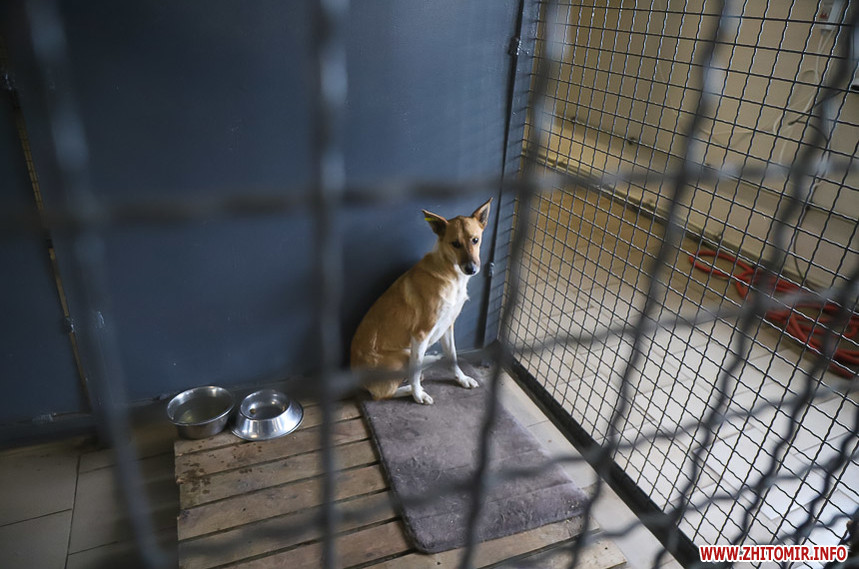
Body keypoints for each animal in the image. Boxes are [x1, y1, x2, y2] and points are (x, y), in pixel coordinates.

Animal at [350, 198, 492, 405]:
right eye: (455, 243)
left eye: (475, 240)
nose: (471, 269)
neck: (450, 273)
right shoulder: (420, 334)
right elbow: (415, 372)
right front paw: (418, 395)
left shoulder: (447, 326)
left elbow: (453, 356)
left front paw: (462, 378)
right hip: (403, 355)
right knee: (383, 394)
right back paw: (412, 388)